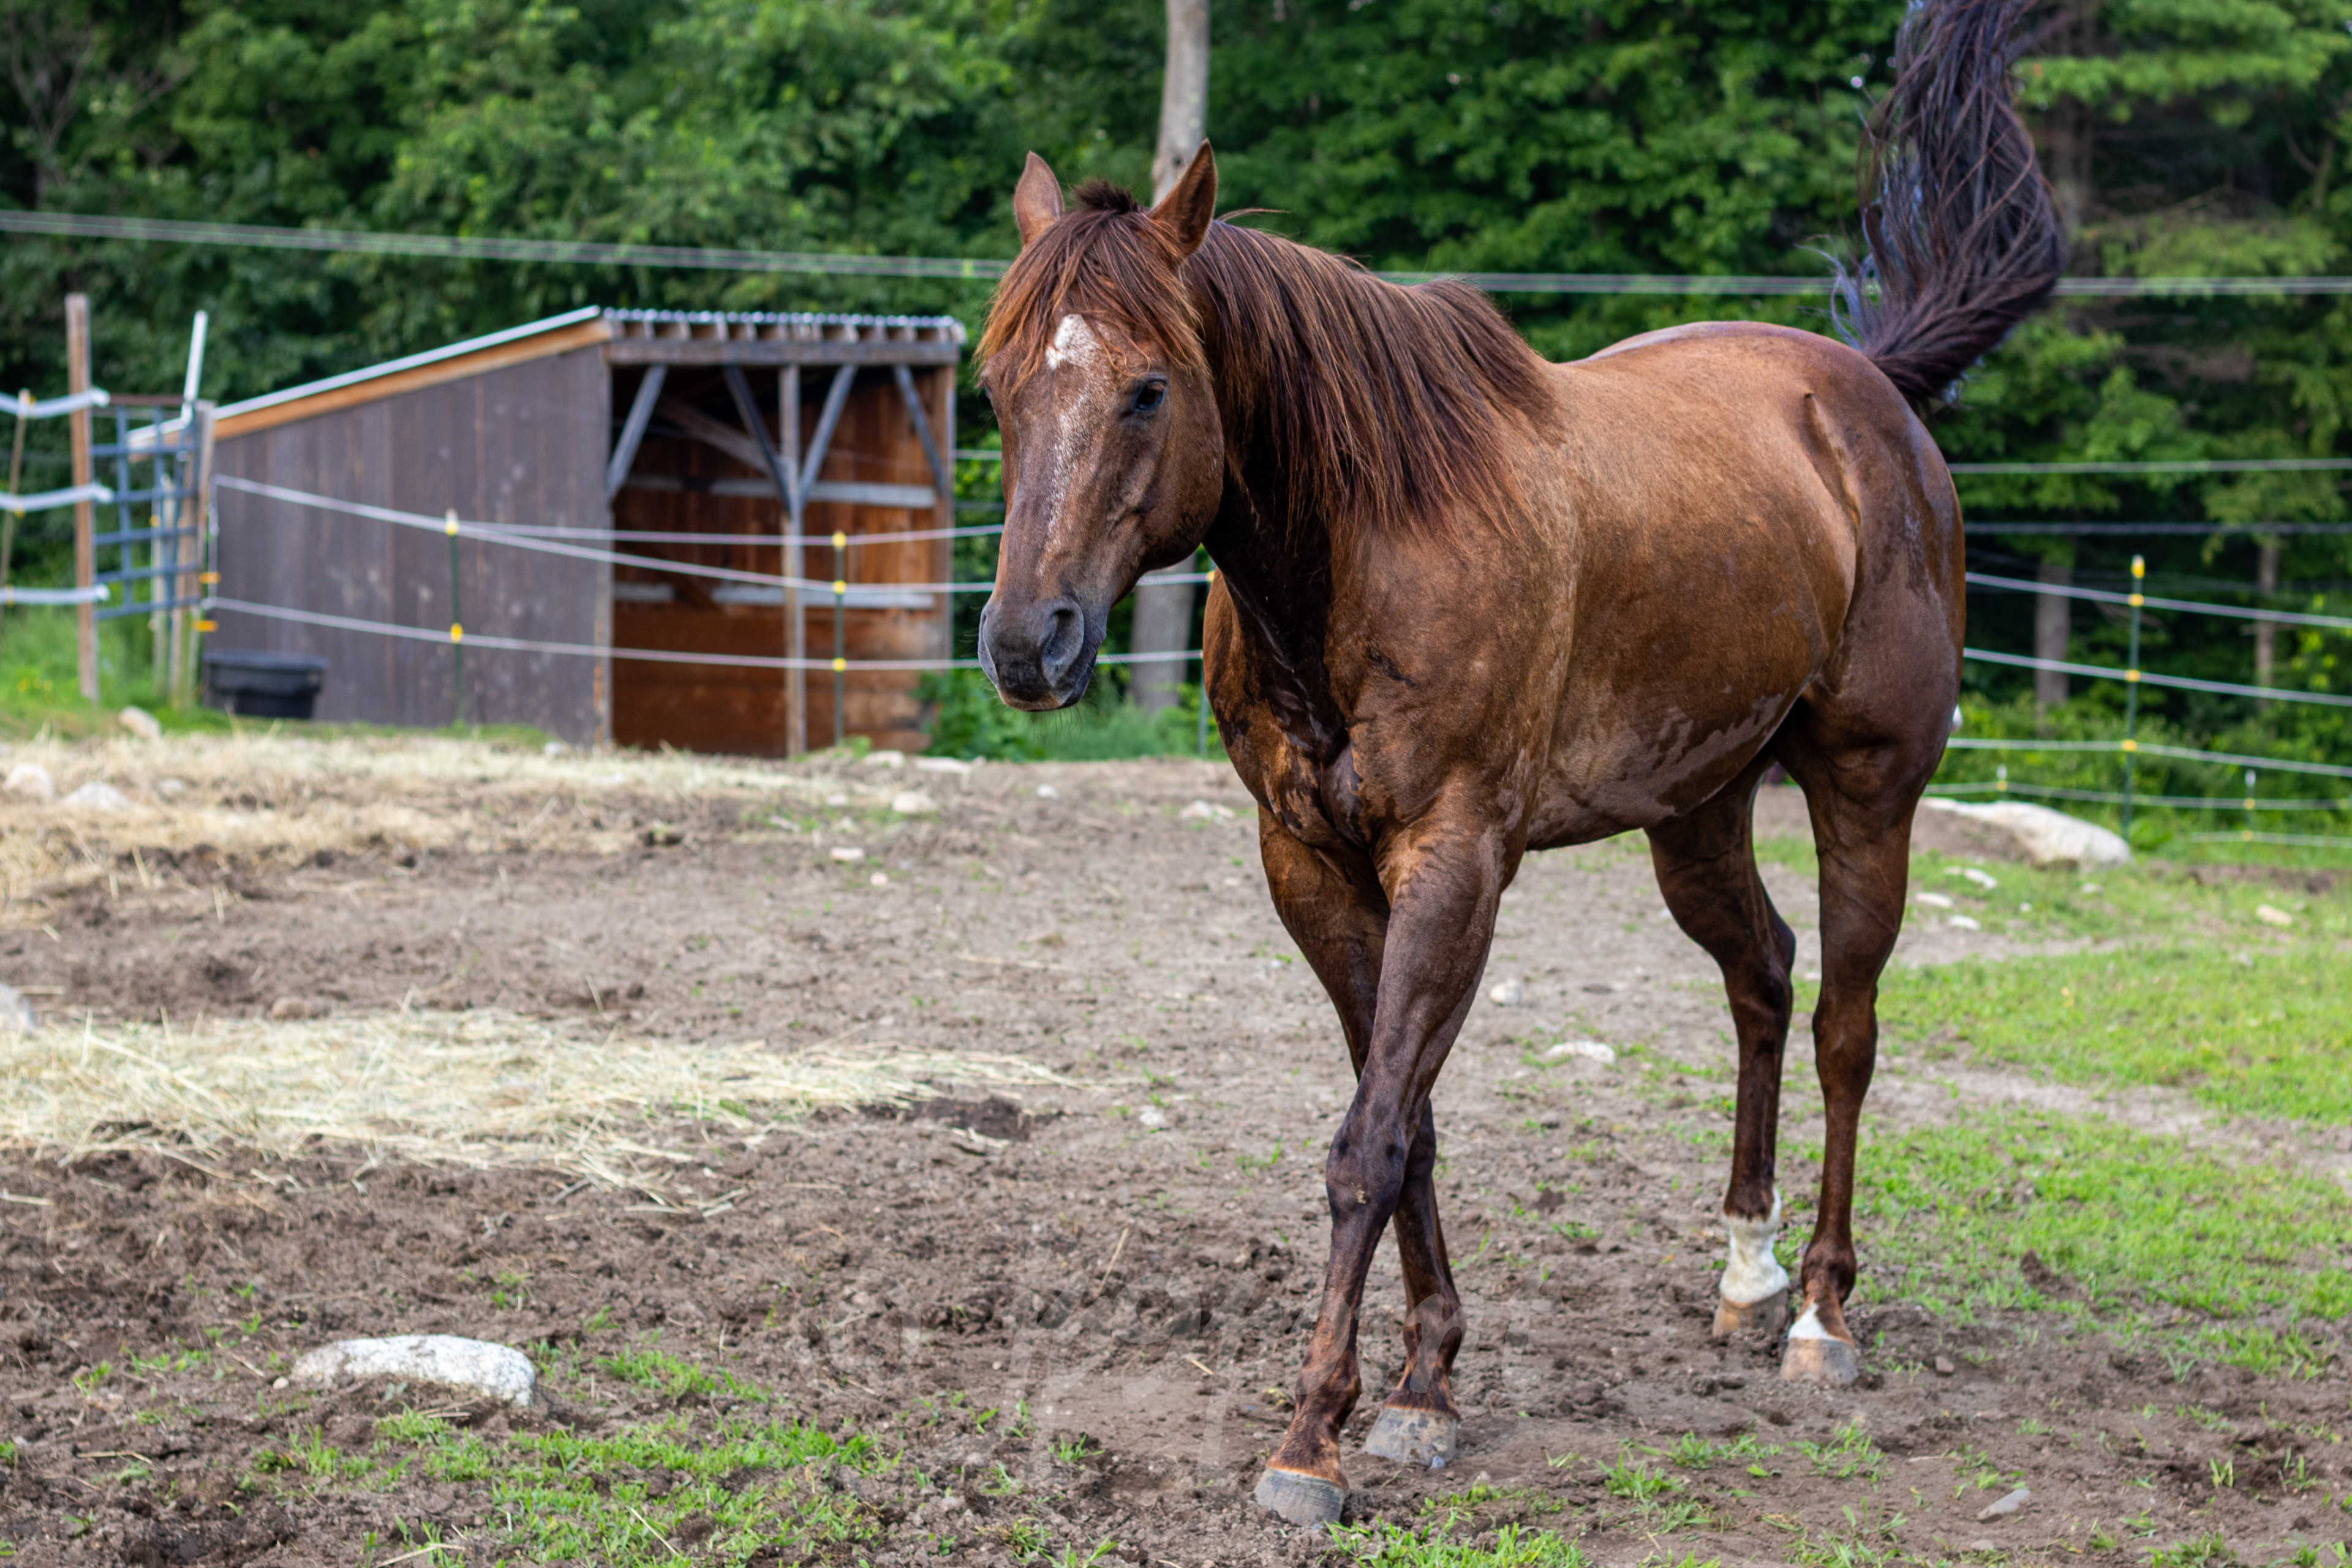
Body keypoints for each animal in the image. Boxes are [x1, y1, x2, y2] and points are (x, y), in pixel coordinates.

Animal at [973, 0, 2061, 1526]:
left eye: (1146, 388)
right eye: (997, 386)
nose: (1030, 641)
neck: (1368, 539)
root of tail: (1871, 397)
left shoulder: (1457, 860)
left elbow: (1369, 1136)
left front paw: (1313, 1434)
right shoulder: (1311, 867)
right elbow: (1409, 1122)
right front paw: (1425, 1377)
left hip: (1867, 789)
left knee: (1846, 1024)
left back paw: (1820, 1315)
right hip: (1699, 815)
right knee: (1764, 979)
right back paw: (1744, 1273)